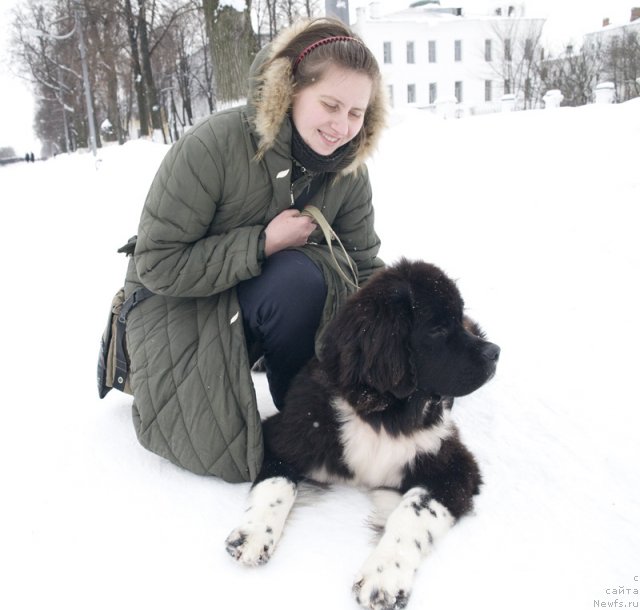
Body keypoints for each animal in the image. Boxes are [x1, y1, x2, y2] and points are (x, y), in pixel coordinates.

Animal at [225, 258, 500, 608]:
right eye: (437, 329)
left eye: (457, 318)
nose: (496, 352)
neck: (383, 412)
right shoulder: (283, 434)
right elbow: (276, 486)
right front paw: (253, 534)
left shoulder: (453, 465)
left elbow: (414, 510)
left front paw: (384, 575)